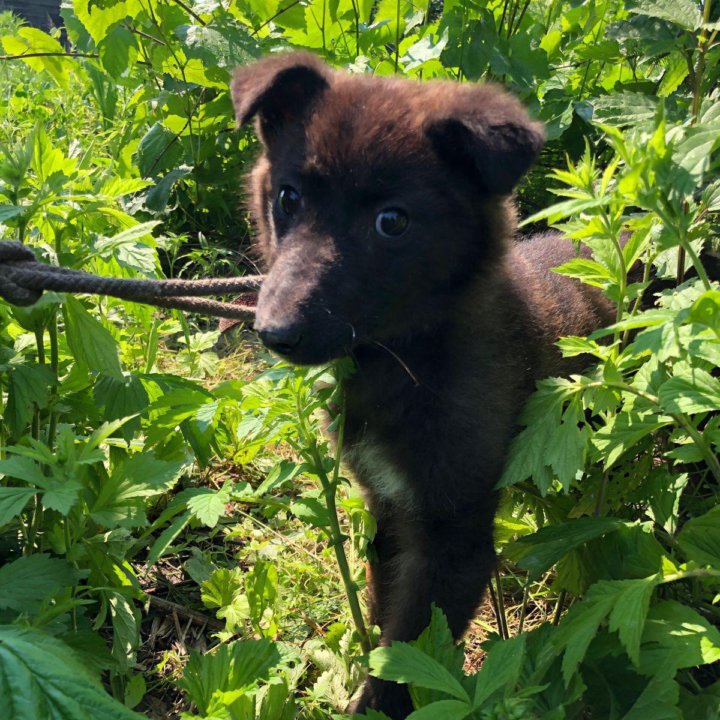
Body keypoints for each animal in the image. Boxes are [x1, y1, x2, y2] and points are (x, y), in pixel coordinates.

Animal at [231, 53, 612, 716]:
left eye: (392, 221)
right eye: (287, 197)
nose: (275, 332)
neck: (403, 357)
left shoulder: (454, 538)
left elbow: (404, 659)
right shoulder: (387, 512)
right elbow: (385, 620)